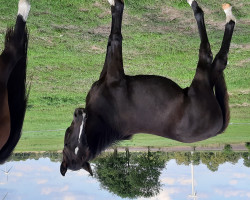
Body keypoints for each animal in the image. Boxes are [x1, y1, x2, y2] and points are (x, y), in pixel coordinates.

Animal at [60, 0, 234, 176]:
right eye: (68, 144)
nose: (80, 113)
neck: (104, 118)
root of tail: (218, 129)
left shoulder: (112, 73)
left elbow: (112, 39)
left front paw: (113, 4)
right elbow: (114, 38)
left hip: (202, 78)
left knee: (213, 55)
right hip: (204, 80)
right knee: (216, 59)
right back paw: (224, 14)